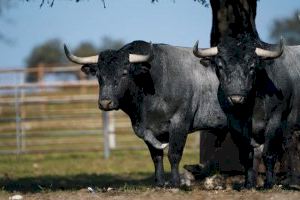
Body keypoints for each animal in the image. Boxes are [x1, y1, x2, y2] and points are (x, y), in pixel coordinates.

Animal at [63, 41, 227, 188]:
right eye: (98, 74)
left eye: (124, 73)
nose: (105, 102)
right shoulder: (148, 129)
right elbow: (157, 156)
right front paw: (159, 183)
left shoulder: (180, 122)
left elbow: (174, 154)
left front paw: (175, 182)